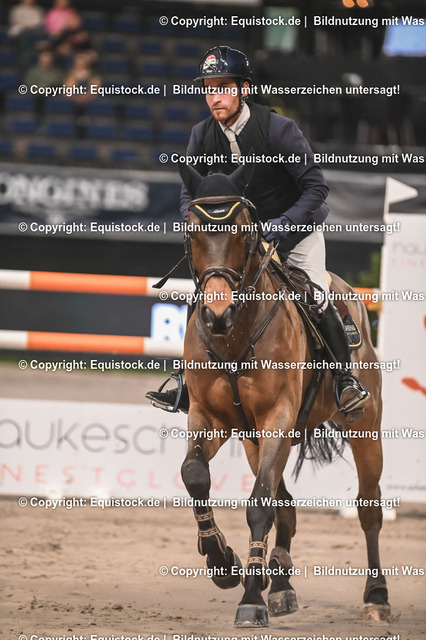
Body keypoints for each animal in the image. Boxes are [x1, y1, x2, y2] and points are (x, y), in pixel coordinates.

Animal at [177, 161, 390, 627]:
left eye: (244, 234)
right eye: (192, 234)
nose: (217, 315)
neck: (235, 336)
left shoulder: (278, 415)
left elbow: (259, 504)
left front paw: (250, 599)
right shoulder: (210, 418)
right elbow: (195, 476)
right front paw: (223, 562)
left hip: (364, 427)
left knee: (368, 509)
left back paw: (377, 596)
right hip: (257, 438)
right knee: (285, 504)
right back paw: (280, 584)